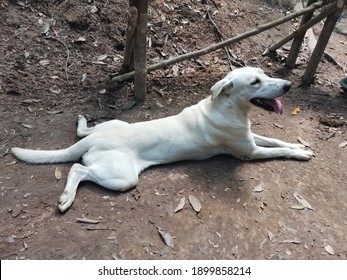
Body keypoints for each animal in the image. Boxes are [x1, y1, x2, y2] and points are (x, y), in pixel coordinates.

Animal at [12, 67, 314, 212]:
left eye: (264, 74)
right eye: (254, 82)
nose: (288, 85)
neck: (228, 107)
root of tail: (91, 142)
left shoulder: (249, 137)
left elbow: (276, 141)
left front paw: (299, 145)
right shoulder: (249, 152)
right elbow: (277, 151)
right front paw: (300, 153)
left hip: (113, 125)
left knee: (82, 134)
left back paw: (83, 122)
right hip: (122, 177)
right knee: (77, 168)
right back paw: (66, 198)